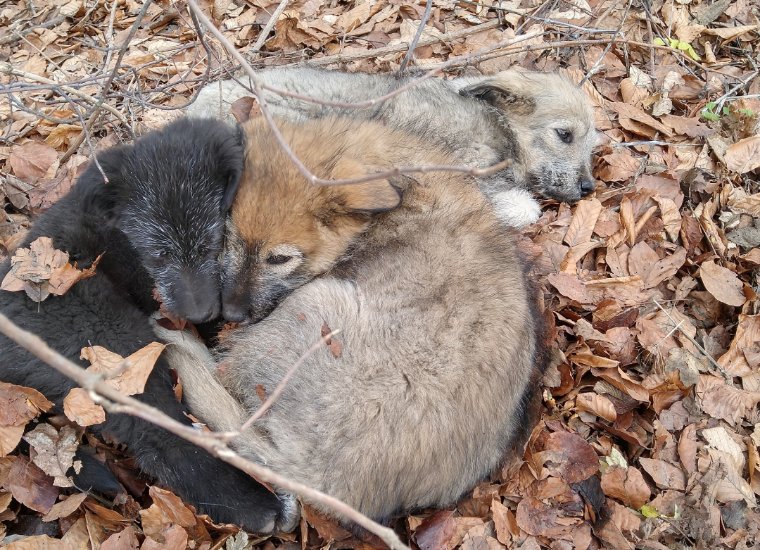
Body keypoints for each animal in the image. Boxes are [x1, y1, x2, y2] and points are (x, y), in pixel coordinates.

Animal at [156, 117, 548, 532]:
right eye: (227, 238)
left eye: (279, 259)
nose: (229, 314)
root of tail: (318, 478)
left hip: (313, 305)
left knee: (223, 374)